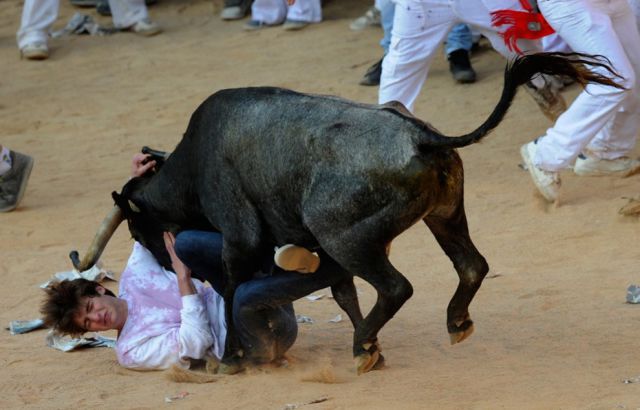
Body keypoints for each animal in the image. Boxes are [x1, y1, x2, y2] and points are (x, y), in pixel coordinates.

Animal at [70, 53, 621, 375]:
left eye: (137, 228)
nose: (164, 266)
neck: (191, 162)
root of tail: (422, 136)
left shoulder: (241, 238)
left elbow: (231, 286)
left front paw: (231, 358)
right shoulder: (320, 253)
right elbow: (341, 292)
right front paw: (374, 349)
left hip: (344, 235)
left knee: (397, 286)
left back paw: (363, 344)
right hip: (442, 215)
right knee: (470, 265)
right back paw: (438, 327)